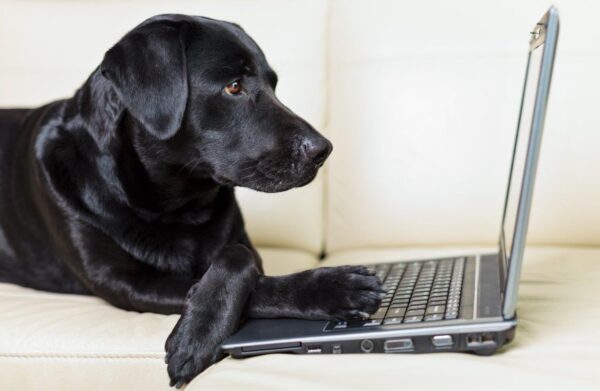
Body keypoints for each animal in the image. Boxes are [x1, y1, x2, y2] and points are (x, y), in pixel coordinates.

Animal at [0, 13, 384, 388]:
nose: (323, 150)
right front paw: (333, 289)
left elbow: (237, 255)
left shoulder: (242, 245)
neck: (176, 205)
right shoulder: (121, 282)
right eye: (233, 86)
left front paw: (197, 331)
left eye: (273, 84)